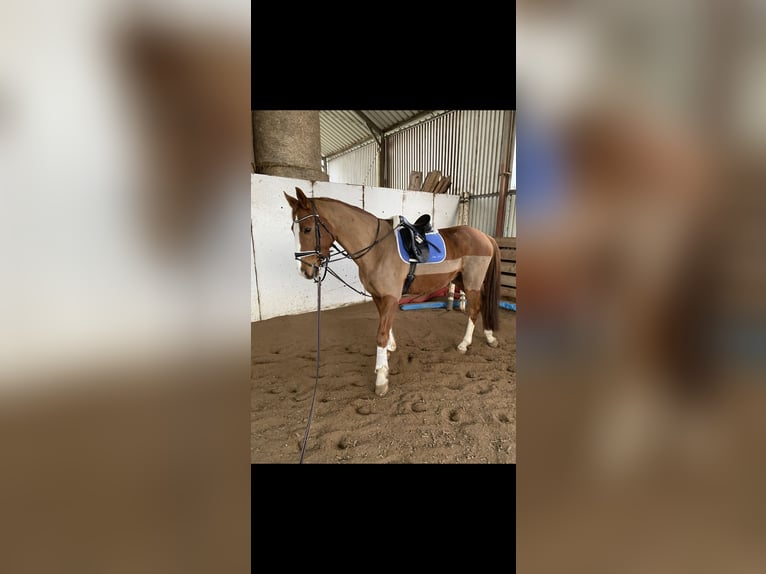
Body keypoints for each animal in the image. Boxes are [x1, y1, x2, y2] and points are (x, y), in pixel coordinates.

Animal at [284, 188, 500, 396]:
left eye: (307, 229)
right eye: (292, 229)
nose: (304, 270)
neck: (378, 249)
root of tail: (485, 236)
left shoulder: (390, 297)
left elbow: (381, 333)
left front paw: (381, 379)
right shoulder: (378, 296)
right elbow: (384, 325)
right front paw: (389, 349)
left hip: (471, 282)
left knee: (475, 308)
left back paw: (465, 343)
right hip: (460, 280)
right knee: (481, 304)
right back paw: (489, 336)